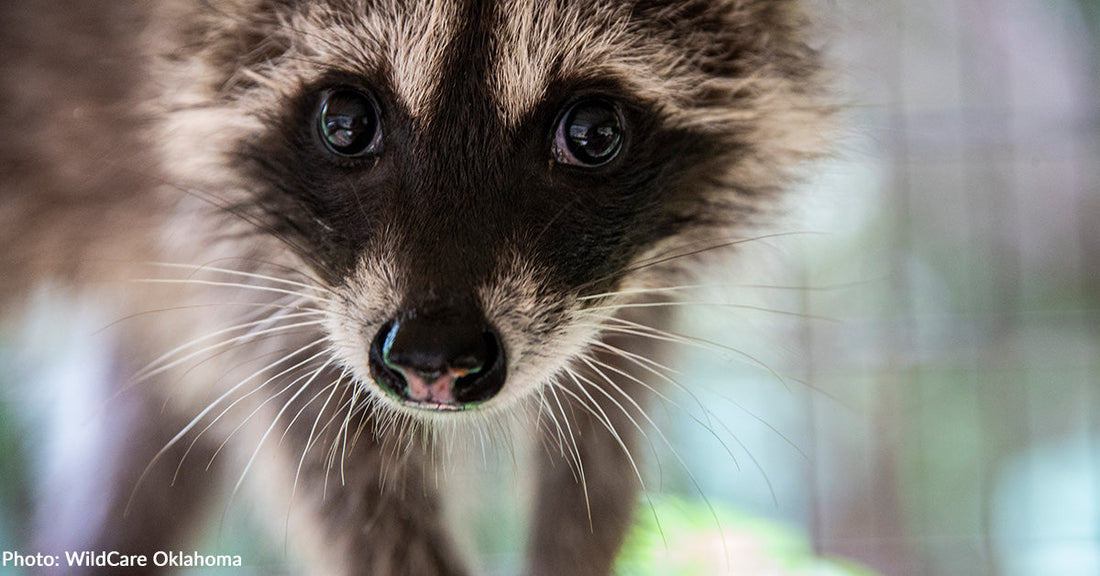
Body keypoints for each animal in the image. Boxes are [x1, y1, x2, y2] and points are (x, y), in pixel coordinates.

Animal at [0, 0, 830, 574]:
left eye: (594, 133)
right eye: (343, 120)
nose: (431, 358)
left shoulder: (621, 292)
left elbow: (598, 442)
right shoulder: (272, 280)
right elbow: (340, 462)